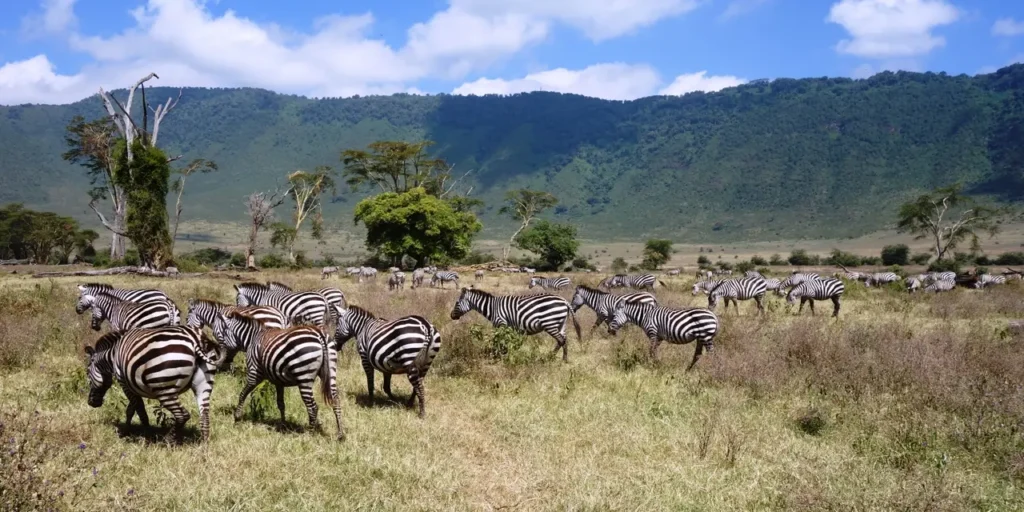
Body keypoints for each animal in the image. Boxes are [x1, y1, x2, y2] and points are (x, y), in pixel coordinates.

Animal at [84, 327, 224, 444]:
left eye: (87, 373)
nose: (91, 403)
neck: (113, 354)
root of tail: (195, 338)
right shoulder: (132, 387)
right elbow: (132, 409)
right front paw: (130, 430)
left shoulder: (125, 384)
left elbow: (138, 410)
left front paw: (143, 434)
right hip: (204, 384)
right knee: (204, 415)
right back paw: (204, 446)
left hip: (164, 388)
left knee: (182, 415)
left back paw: (167, 440)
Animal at [214, 307, 346, 440]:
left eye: (221, 337)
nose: (222, 361)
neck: (252, 338)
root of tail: (320, 335)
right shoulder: (278, 380)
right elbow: (281, 403)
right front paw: (283, 425)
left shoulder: (254, 373)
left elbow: (242, 394)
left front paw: (237, 418)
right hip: (331, 370)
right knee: (336, 400)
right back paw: (340, 434)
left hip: (304, 376)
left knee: (313, 407)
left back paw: (309, 434)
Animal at [450, 286, 581, 362]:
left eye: (457, 303)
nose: (451, 316)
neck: (492, 308)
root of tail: (564, 301)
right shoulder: (506, 327)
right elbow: (503, 341)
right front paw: (503, 354)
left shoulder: (501, 323)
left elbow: (499, 341)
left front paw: (498, 356)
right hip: (561, 324)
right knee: (563, 340)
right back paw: (557, 358)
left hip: (550, 324)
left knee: (561, 340)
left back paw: (555, 358)